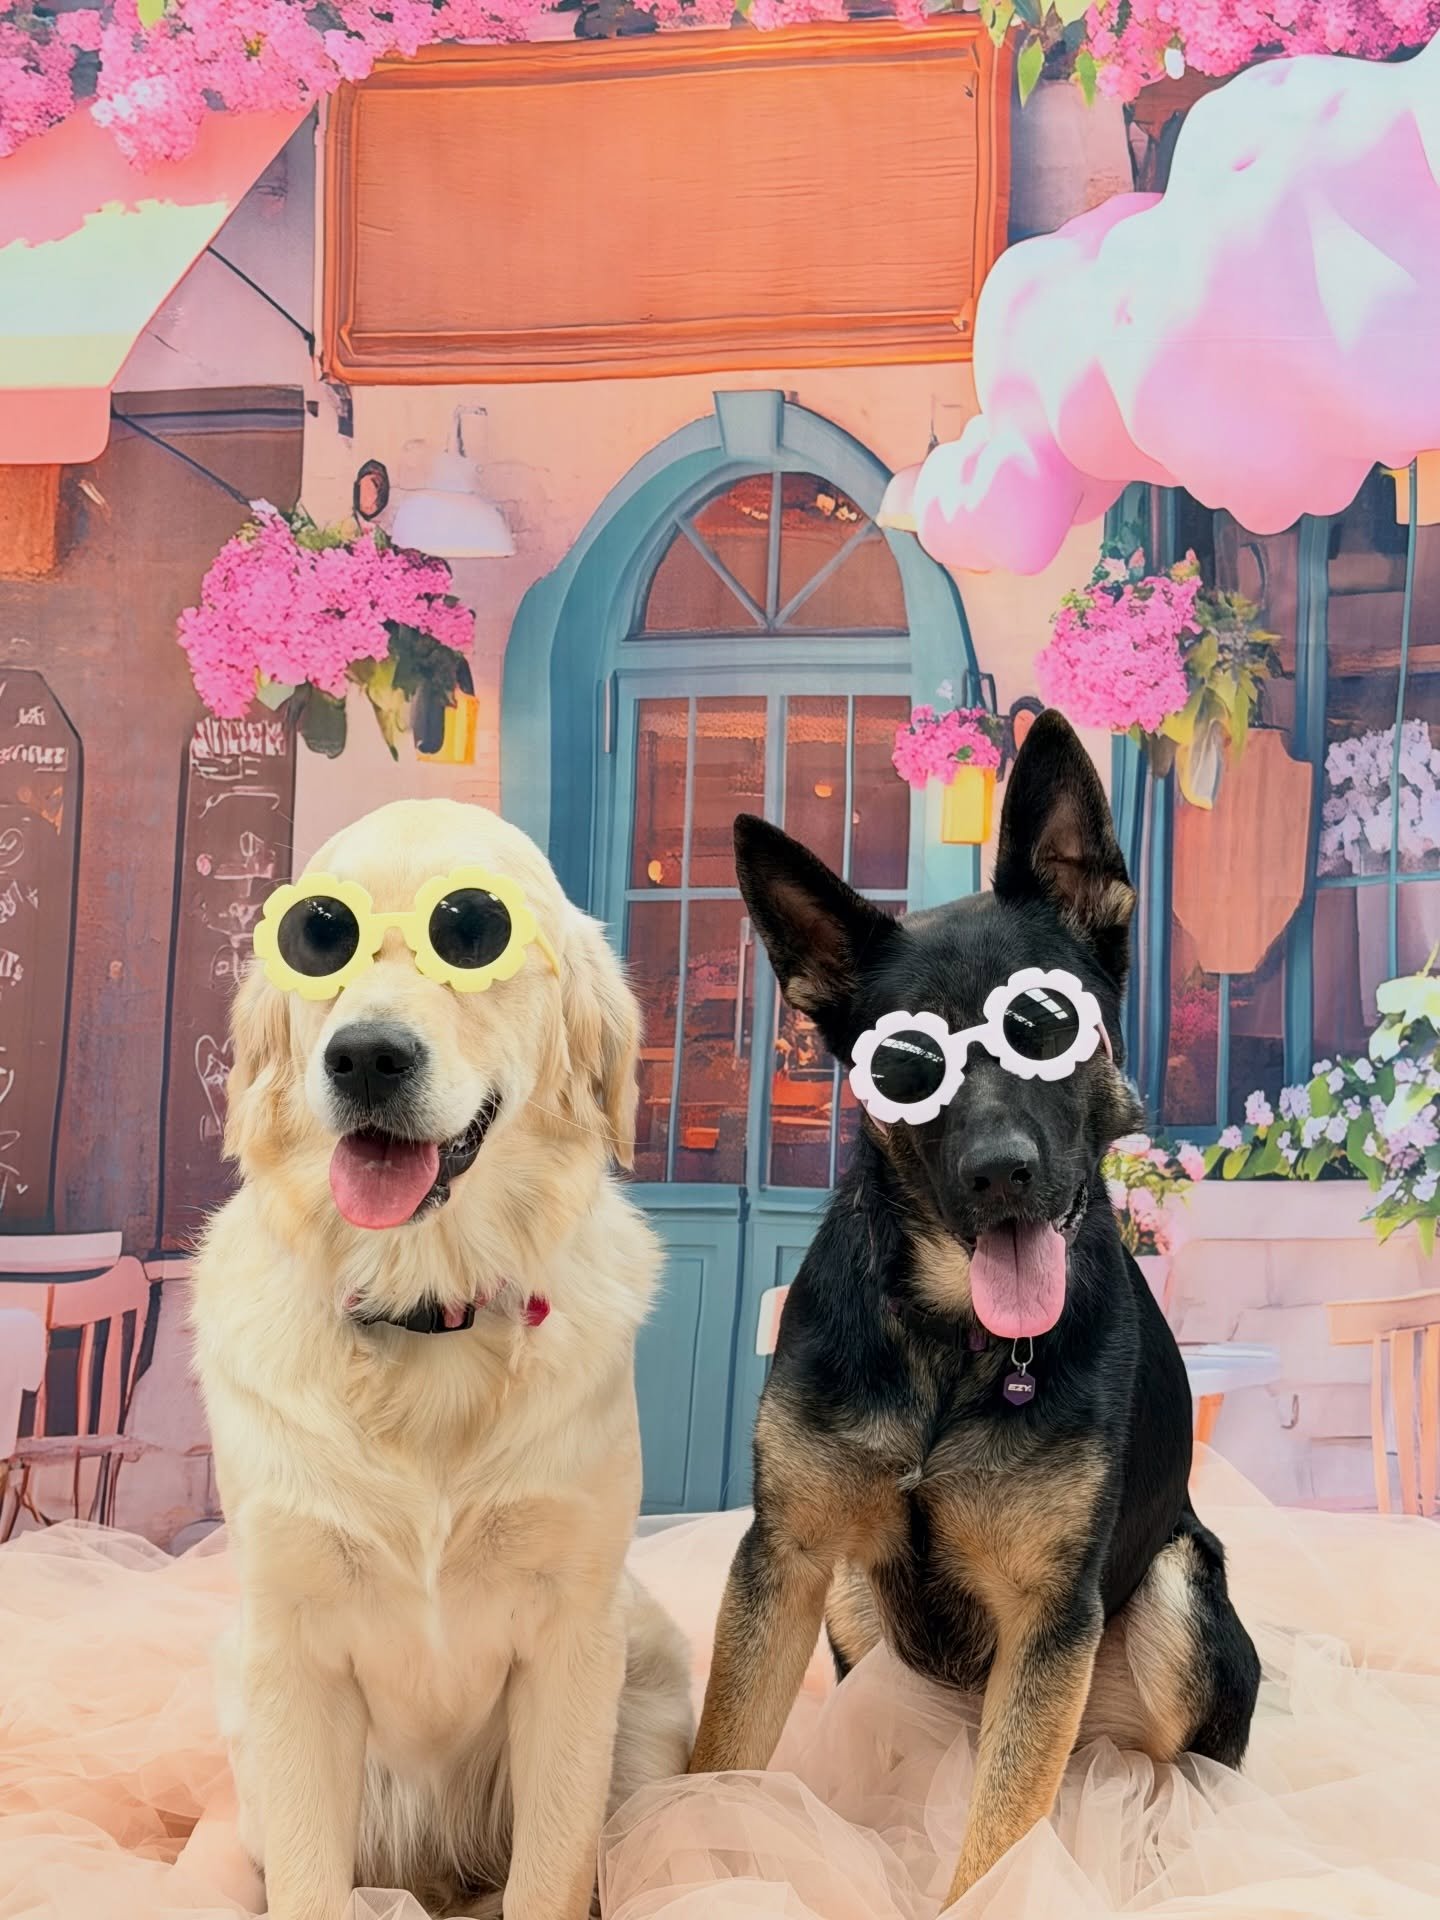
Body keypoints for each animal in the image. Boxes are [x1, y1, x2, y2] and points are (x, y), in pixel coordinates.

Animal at [190, 798, 693, 1920]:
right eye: (318, 935)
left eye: (472, 929)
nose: (367, 1057)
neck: (425, 1310)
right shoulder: (291, 1651)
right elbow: (306, 1885)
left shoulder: (571, 1642)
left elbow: (549, 1876)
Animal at [689, 711, 1261, 1900]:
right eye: (905, 1061)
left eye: (1044, 1023)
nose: (1001, 1174)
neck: (955, 1336)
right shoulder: (784, 1559)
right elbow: (714, 1763)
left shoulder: (1053, 1617)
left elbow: (1000, 1850)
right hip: (857, 1604)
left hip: (1176, 1593)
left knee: (1166, 1773)